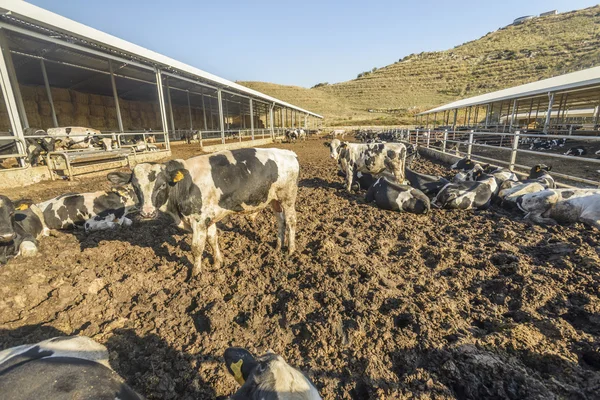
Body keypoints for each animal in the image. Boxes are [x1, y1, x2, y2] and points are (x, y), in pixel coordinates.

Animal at [106, 147, 298, 276]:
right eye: (135, 186)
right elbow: (213, 239)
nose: (147, 213)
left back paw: (291, 249)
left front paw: (196, 273)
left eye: (161, 185)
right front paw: (217, 263)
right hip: (274, 200)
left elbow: (196, 248)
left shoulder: (198, 220)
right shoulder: (208, 218)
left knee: (291, 221)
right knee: (280, 220)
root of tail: (289, 153)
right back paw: (278, 246)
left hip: (288, 197)